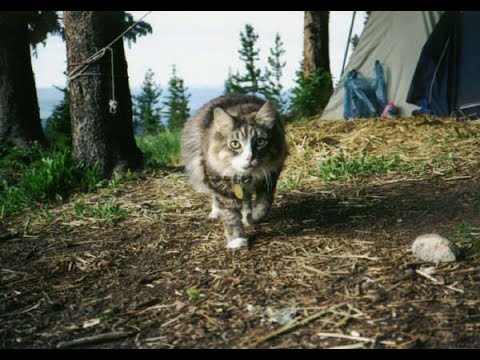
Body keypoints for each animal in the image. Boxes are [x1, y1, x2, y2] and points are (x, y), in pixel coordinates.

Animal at [181, 94, 286, 249]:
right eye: (235, 144)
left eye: (260, 142)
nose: (249, 158)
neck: (246, 176)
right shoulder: (221, 185)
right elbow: (230, 216)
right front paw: (237, 239)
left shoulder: (270, 178)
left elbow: (263, 205)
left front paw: (251, 218)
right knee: (215, 198)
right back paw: (216, 212)